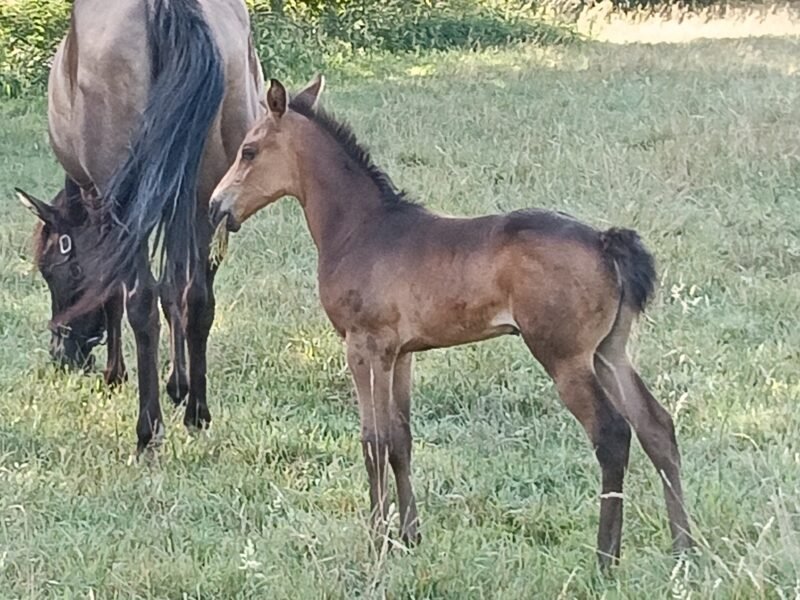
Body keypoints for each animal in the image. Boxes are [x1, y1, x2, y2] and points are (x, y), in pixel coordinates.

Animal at [15, 0, 265, 452]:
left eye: (52, 270)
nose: (62, 354)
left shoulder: (102, 201)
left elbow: (117, 290)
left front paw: (117, 375)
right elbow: (175, 290)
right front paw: (178, 385)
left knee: (141, 301)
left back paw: (148, 432)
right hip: (208, 197)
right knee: (199, 298)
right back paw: (197, 413)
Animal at [208, 77, 694, 566]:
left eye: (249, 150)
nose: (215, 206)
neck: (361, 230)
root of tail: (604, 241)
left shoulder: (365, 347)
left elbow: (373, 440)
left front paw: (376, 543)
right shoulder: (401, 355)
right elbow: (401, 440)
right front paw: (410, 536)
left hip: (566, 359)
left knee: (612, 434)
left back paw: (606, 558)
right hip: (608, 351)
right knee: (656, 427)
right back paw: (684, 549)